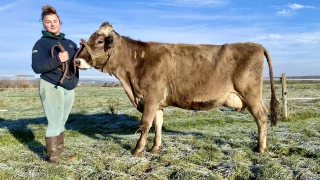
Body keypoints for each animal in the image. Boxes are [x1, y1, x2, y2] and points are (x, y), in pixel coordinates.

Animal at [75, 21, 278, 156]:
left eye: (99, 41)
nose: (77, 61)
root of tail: (256, 45)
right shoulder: (157, 103)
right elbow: (158, 124)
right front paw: (155, 148)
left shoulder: (150, 98)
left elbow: (145, 124)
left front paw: (137, 150)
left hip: (251, 93)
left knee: (261, 116)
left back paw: (260, 147)